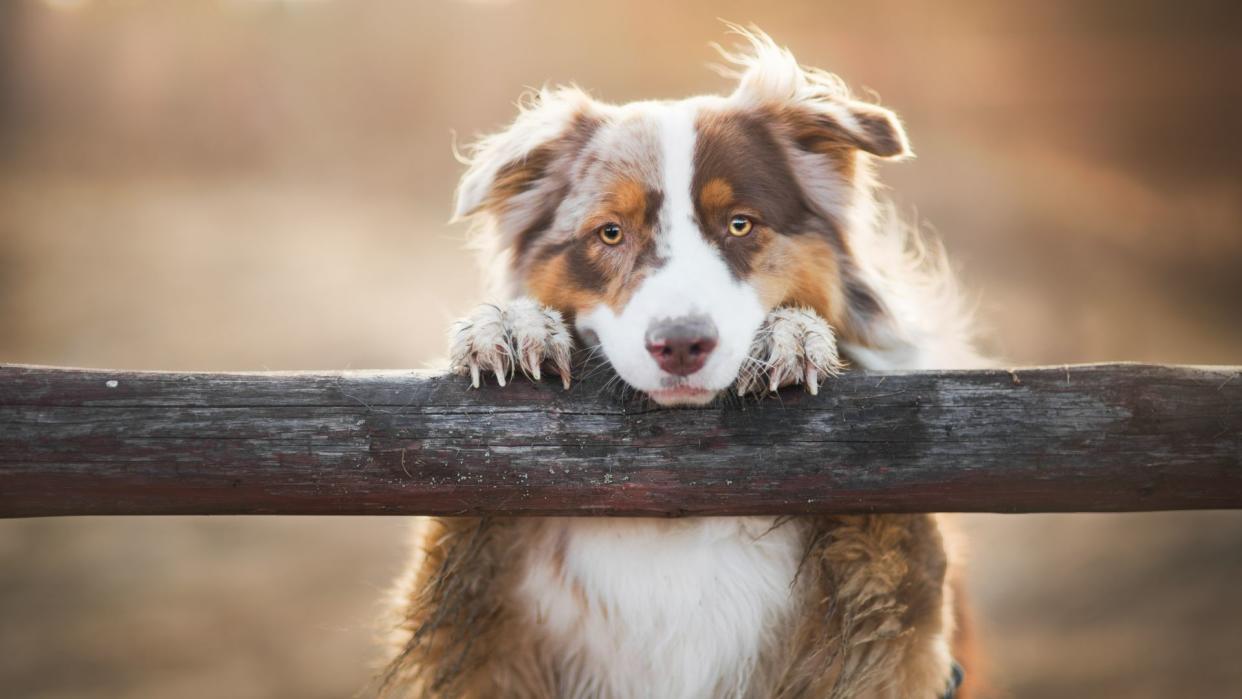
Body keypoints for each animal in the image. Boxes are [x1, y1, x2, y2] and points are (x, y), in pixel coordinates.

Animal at [382, 27, 983, 699]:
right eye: (610, 233)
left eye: (740, 224)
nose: (681, 344)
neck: (682, 505)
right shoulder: (479, 647)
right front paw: (513, 324)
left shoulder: (891, 648)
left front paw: (790, 335)